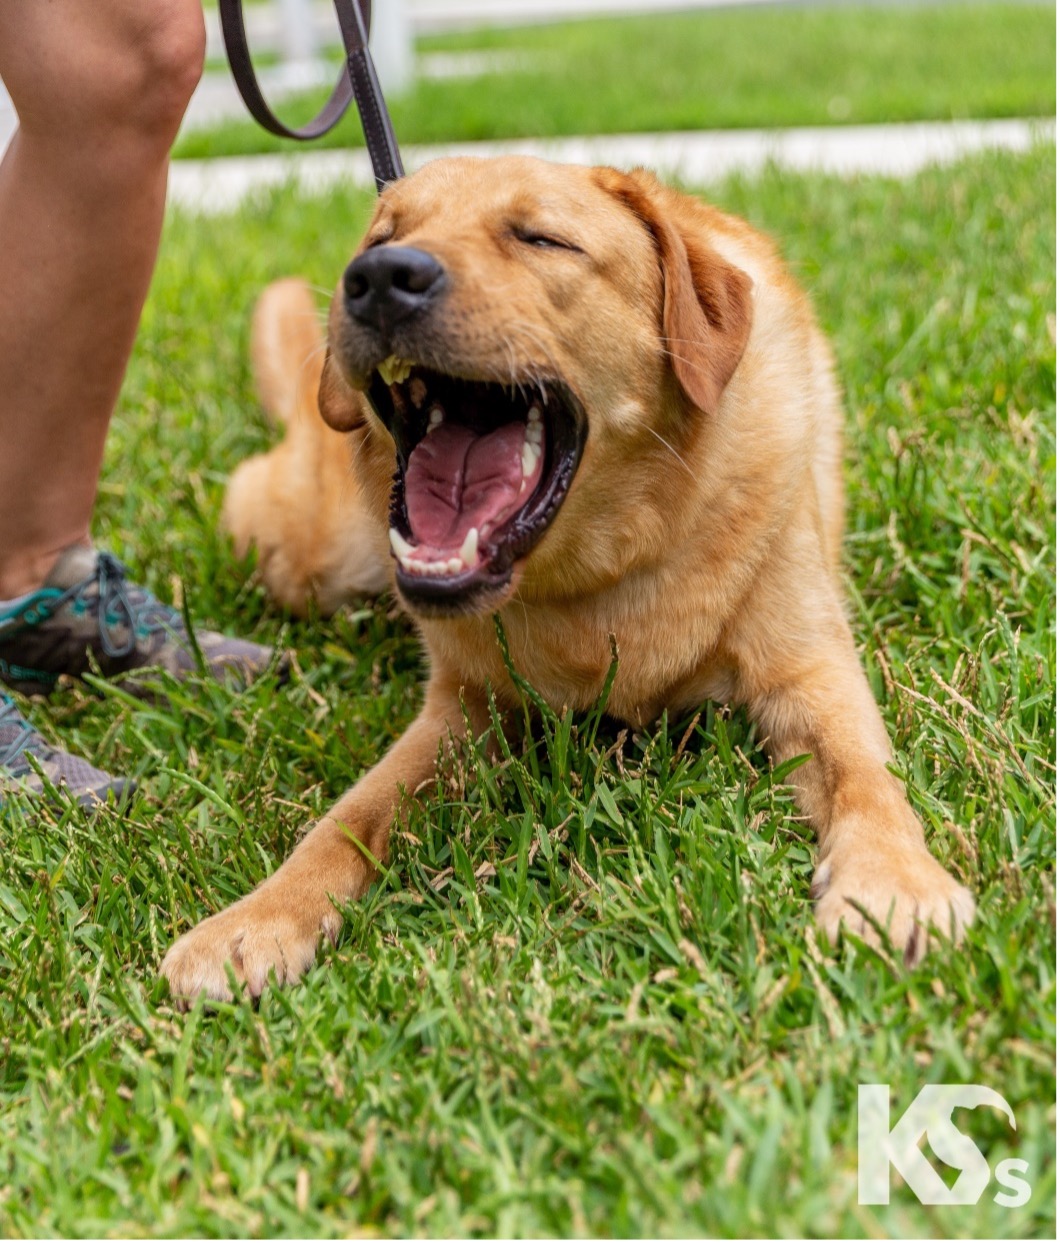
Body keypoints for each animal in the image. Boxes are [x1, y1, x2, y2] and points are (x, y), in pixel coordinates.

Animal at [159, 152, 974, 999]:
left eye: (542, 238)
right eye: (383, 235)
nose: (378, 276)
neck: (601, 574)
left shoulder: (810, 671)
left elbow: (864, 776)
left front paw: (891, 879)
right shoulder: (465, 710)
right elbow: (350, 814)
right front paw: (259, 916)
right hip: (308, 554)